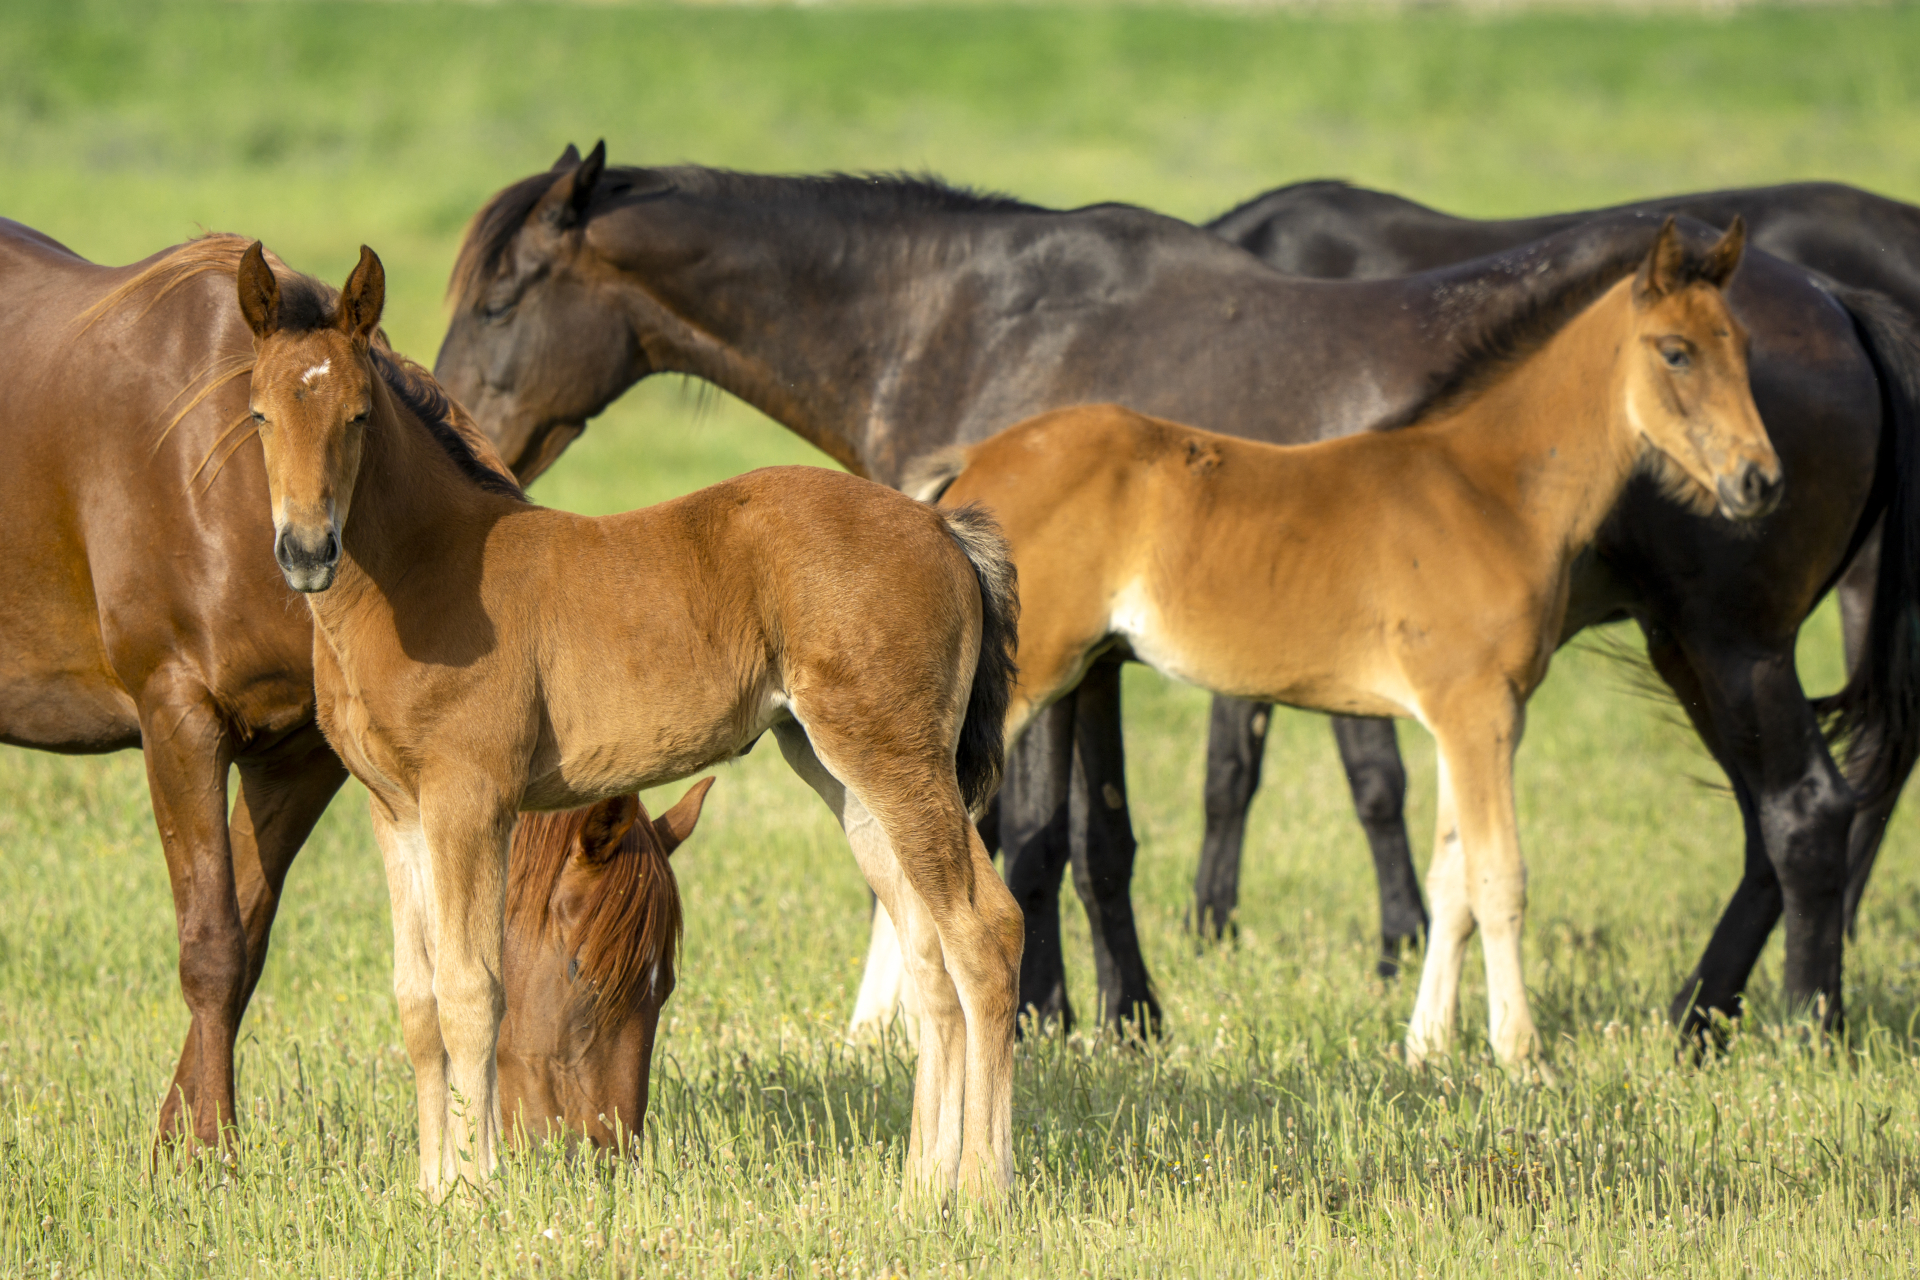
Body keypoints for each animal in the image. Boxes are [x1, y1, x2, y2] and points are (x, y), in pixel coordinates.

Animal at [906, 217, 1774, 1074]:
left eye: (1743, 345)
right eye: (1676, 351)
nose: (1759, 480)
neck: (1490, 490)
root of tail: (976, 460)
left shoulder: (1473, 720)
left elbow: (1451, 883)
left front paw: (1426, 1049)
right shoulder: (1477, 713)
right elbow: (1499, 880)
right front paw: (1522, 1057)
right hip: (1026, 685)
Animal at [1198, 180, 1920, 1036]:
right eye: (1678, 355)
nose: (1756, 479)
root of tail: (1843, 304)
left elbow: (1373, 783)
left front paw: (1392, 946)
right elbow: (1232, 768)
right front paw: (1212, 928)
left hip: (1744, 643)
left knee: (1811, 807)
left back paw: (1807, 1019)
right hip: (1700, 647)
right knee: (1788, 814)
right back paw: (1699, 1018)